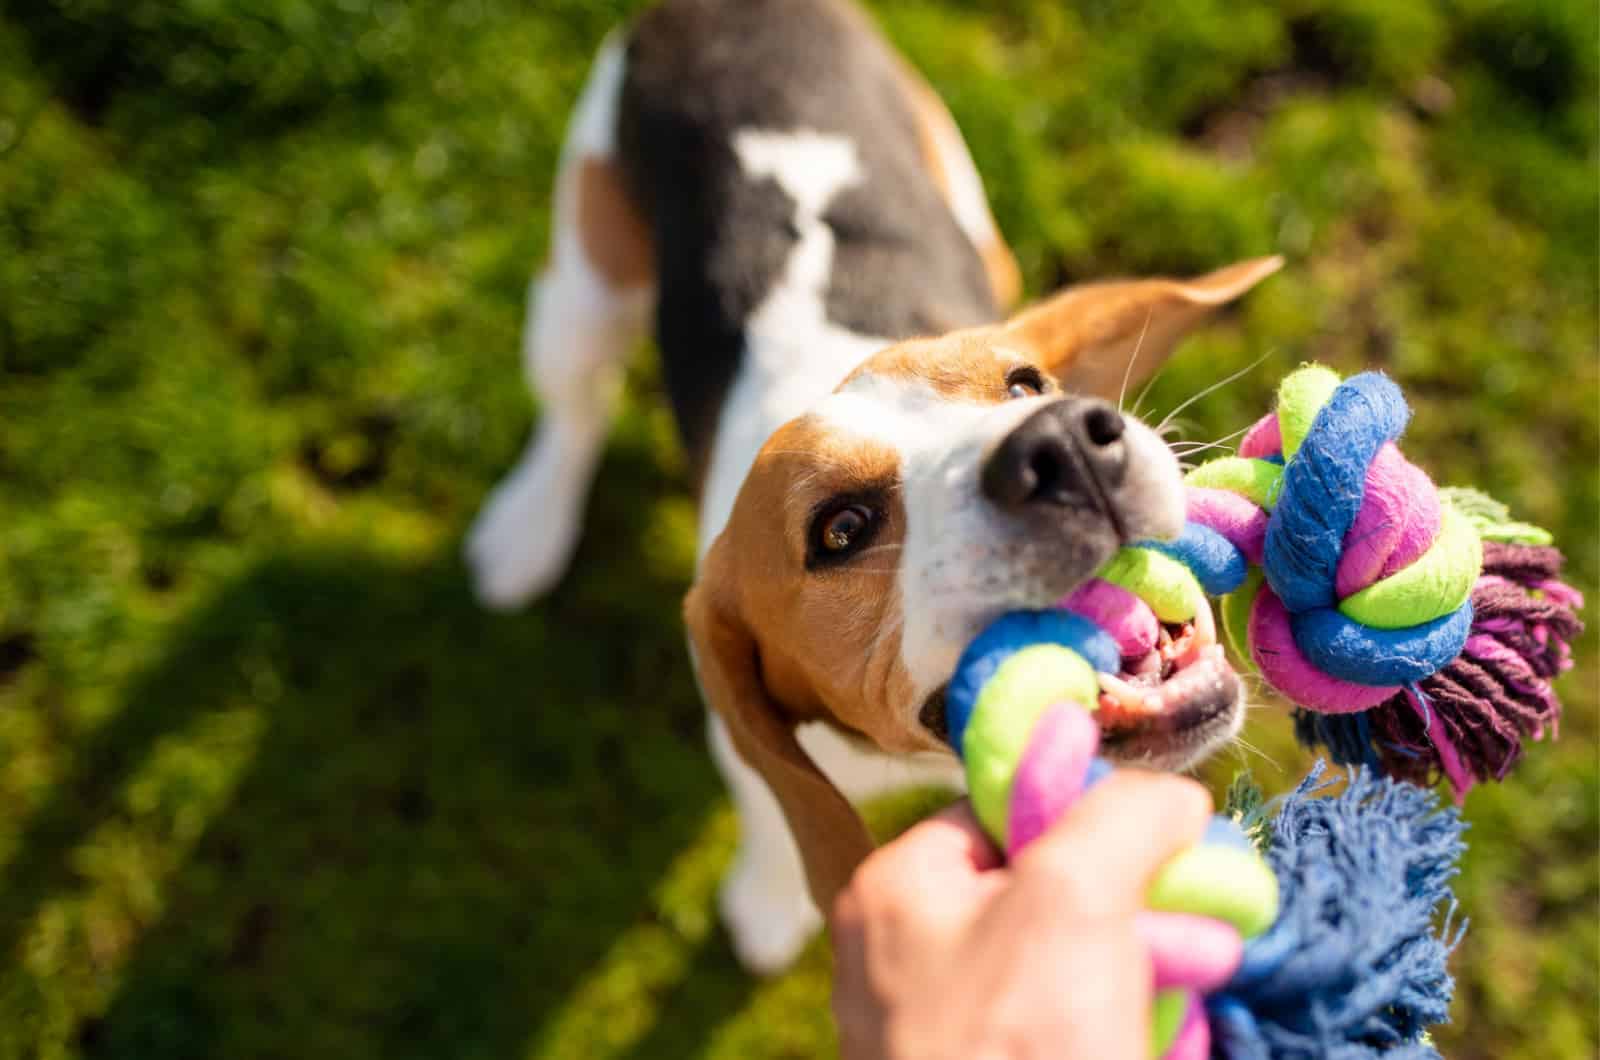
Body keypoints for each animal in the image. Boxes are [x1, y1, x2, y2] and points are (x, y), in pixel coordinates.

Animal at [467, 0, 1280, 973]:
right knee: (574, 405)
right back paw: (526, 528)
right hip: (583, 278)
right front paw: (771, 901)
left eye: (1025, 386)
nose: (1063, 446)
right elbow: (774, 815)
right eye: (841, 529)